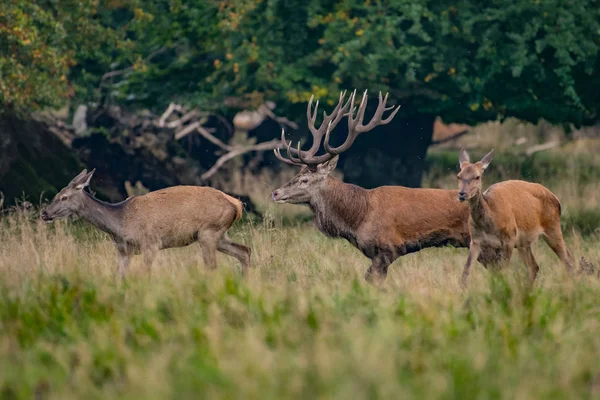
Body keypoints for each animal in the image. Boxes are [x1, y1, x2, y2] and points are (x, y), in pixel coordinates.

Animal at [41, 170, 250, 278]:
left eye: (64, 197)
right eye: (56, 194)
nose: (45, 213)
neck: (120, 222)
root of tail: (236, 204)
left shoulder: (151, 243)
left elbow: (144, 272)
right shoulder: (124, 251)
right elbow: (119, 277)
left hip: (209, 231)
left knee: (212, 266)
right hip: (218, 234)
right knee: (244, 250)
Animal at [458, 148, 576, 286]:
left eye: (477, 176)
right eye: (459, 176)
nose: (462, 194)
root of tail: (557, 200)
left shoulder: (509, 239)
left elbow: (503, 271)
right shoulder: (475, 240)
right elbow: (466, 271)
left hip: (552, 227)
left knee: (567, 260)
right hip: (523, 242)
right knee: (535, 266)